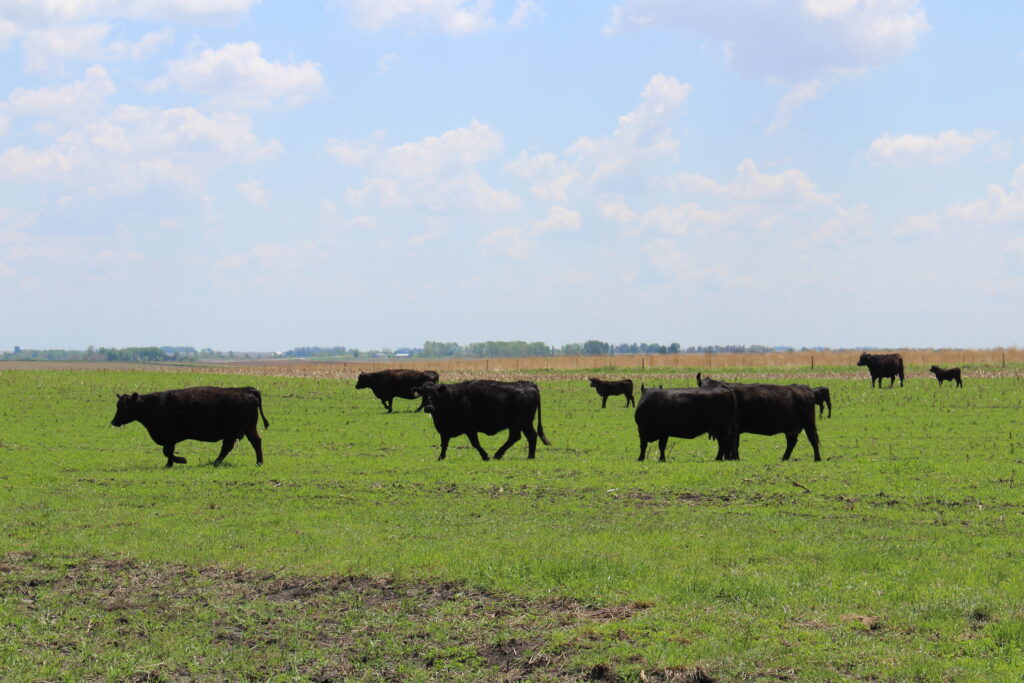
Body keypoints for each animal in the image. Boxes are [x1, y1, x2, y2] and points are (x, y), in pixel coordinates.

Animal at [111, 386, 269, 468]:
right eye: (118, 405)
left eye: (124, 407)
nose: (114, 422)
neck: (153, 405)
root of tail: (246, 389)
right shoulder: (169, 438)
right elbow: (167, 452)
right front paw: (171, 464)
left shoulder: (170, 436)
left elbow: (167, 451)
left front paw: (180, 460)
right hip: (248, 428)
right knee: (255, 441)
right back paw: (258, 462)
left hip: (233, 431)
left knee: (228, 446)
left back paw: (216, 462)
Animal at [415, 380, 550, 460]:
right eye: (423, 394)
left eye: (435, 393)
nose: (428, 407)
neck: (450, 398)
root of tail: (528, 383)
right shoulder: (444, 430)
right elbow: (444, 444)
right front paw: (441, 457)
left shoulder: (470, 428)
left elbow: (475, 443)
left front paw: (485, 456)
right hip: (518, 424)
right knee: (519, 437)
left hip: (523, 422)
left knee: (528, 436)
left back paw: (525, 455)